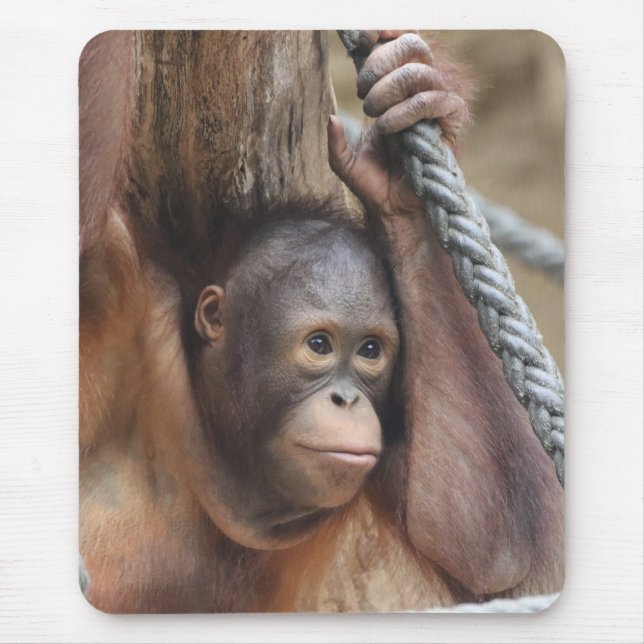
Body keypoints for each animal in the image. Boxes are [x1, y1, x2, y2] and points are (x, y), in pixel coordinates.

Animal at [79, 30, 563, 612]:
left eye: (370, 352)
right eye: (318, 345)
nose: (347, 399)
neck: (222, 445)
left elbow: (494, 549)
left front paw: (405, 134)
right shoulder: (116, 293)